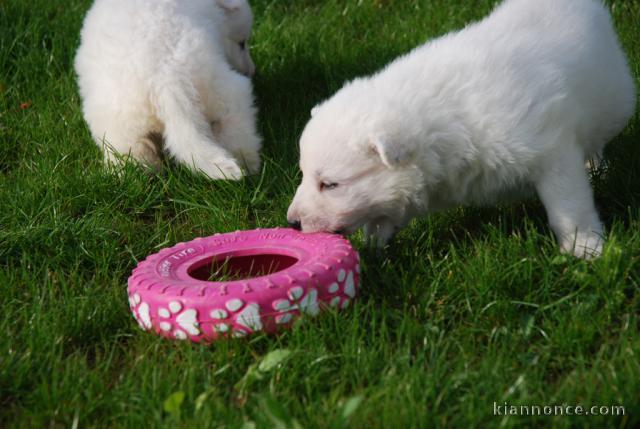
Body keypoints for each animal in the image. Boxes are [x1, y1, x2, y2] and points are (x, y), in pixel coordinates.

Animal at [76, 0, 262, 179]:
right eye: (242, 43)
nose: (251, 71)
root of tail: (165, 80)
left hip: (122, 134)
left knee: (133, 159)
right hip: (225, 90)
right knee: (238, 131)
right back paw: (250, 166)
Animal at [288, 0, 636, 258]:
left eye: (330, 184)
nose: (291, 223)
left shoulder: (551, 150)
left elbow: (567, 205)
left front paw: (585, 250)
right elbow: (385, 212)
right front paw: (375, 245)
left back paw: (596, 167)